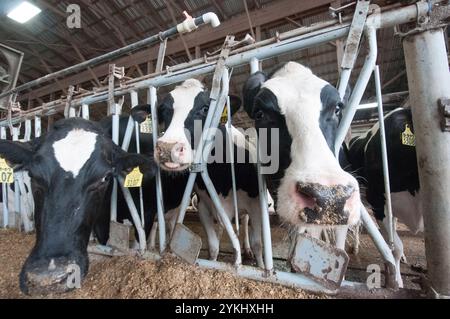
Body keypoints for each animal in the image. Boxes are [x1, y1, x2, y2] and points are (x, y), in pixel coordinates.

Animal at [134, 80, 264, 268]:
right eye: (163, 109)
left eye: (205, 108)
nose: (167, 148)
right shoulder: (204, 206)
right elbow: (213, 246)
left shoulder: (255, 205)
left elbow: (258, 244)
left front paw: (262, 267)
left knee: (245, 224)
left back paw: (246, 250)